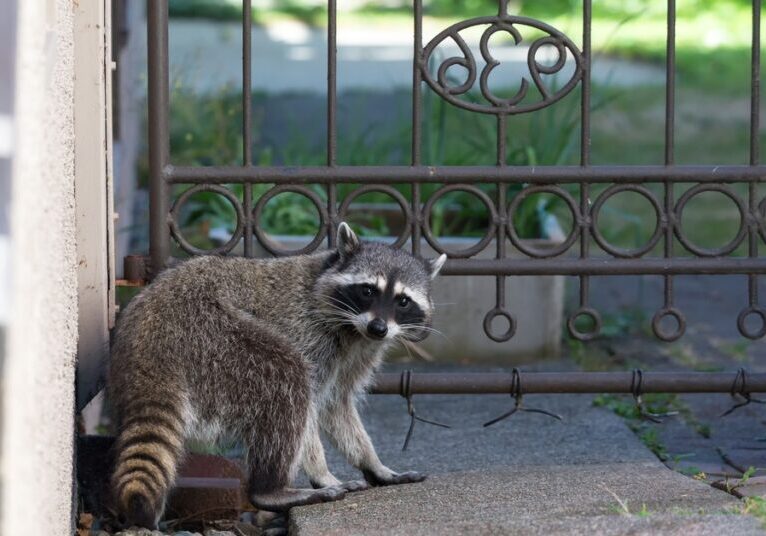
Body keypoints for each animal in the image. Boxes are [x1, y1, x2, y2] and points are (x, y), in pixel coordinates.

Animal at [107, 222, 447, 528]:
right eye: (367, 290)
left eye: (403, 300)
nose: (379, 328)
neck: (353, 328)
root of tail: (150, 339)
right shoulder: (307, 333)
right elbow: (310, 408)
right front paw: (322, 474)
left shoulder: (357, 354)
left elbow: (337, 406)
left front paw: (374, 464)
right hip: (214, 335)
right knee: (286, 378)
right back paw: (271, 489)